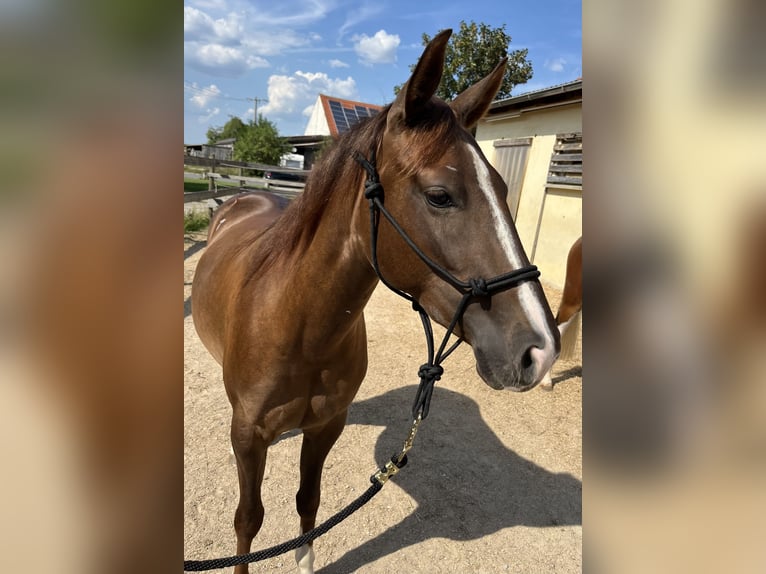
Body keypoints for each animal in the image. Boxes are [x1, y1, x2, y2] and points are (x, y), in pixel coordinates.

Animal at [192, 30, 560, 574]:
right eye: (440, 195)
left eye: (500, 186)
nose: (541, 350)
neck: (297, 326)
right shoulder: (248, 438)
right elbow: (248, 520)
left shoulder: (326, 426)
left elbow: (308, 501)